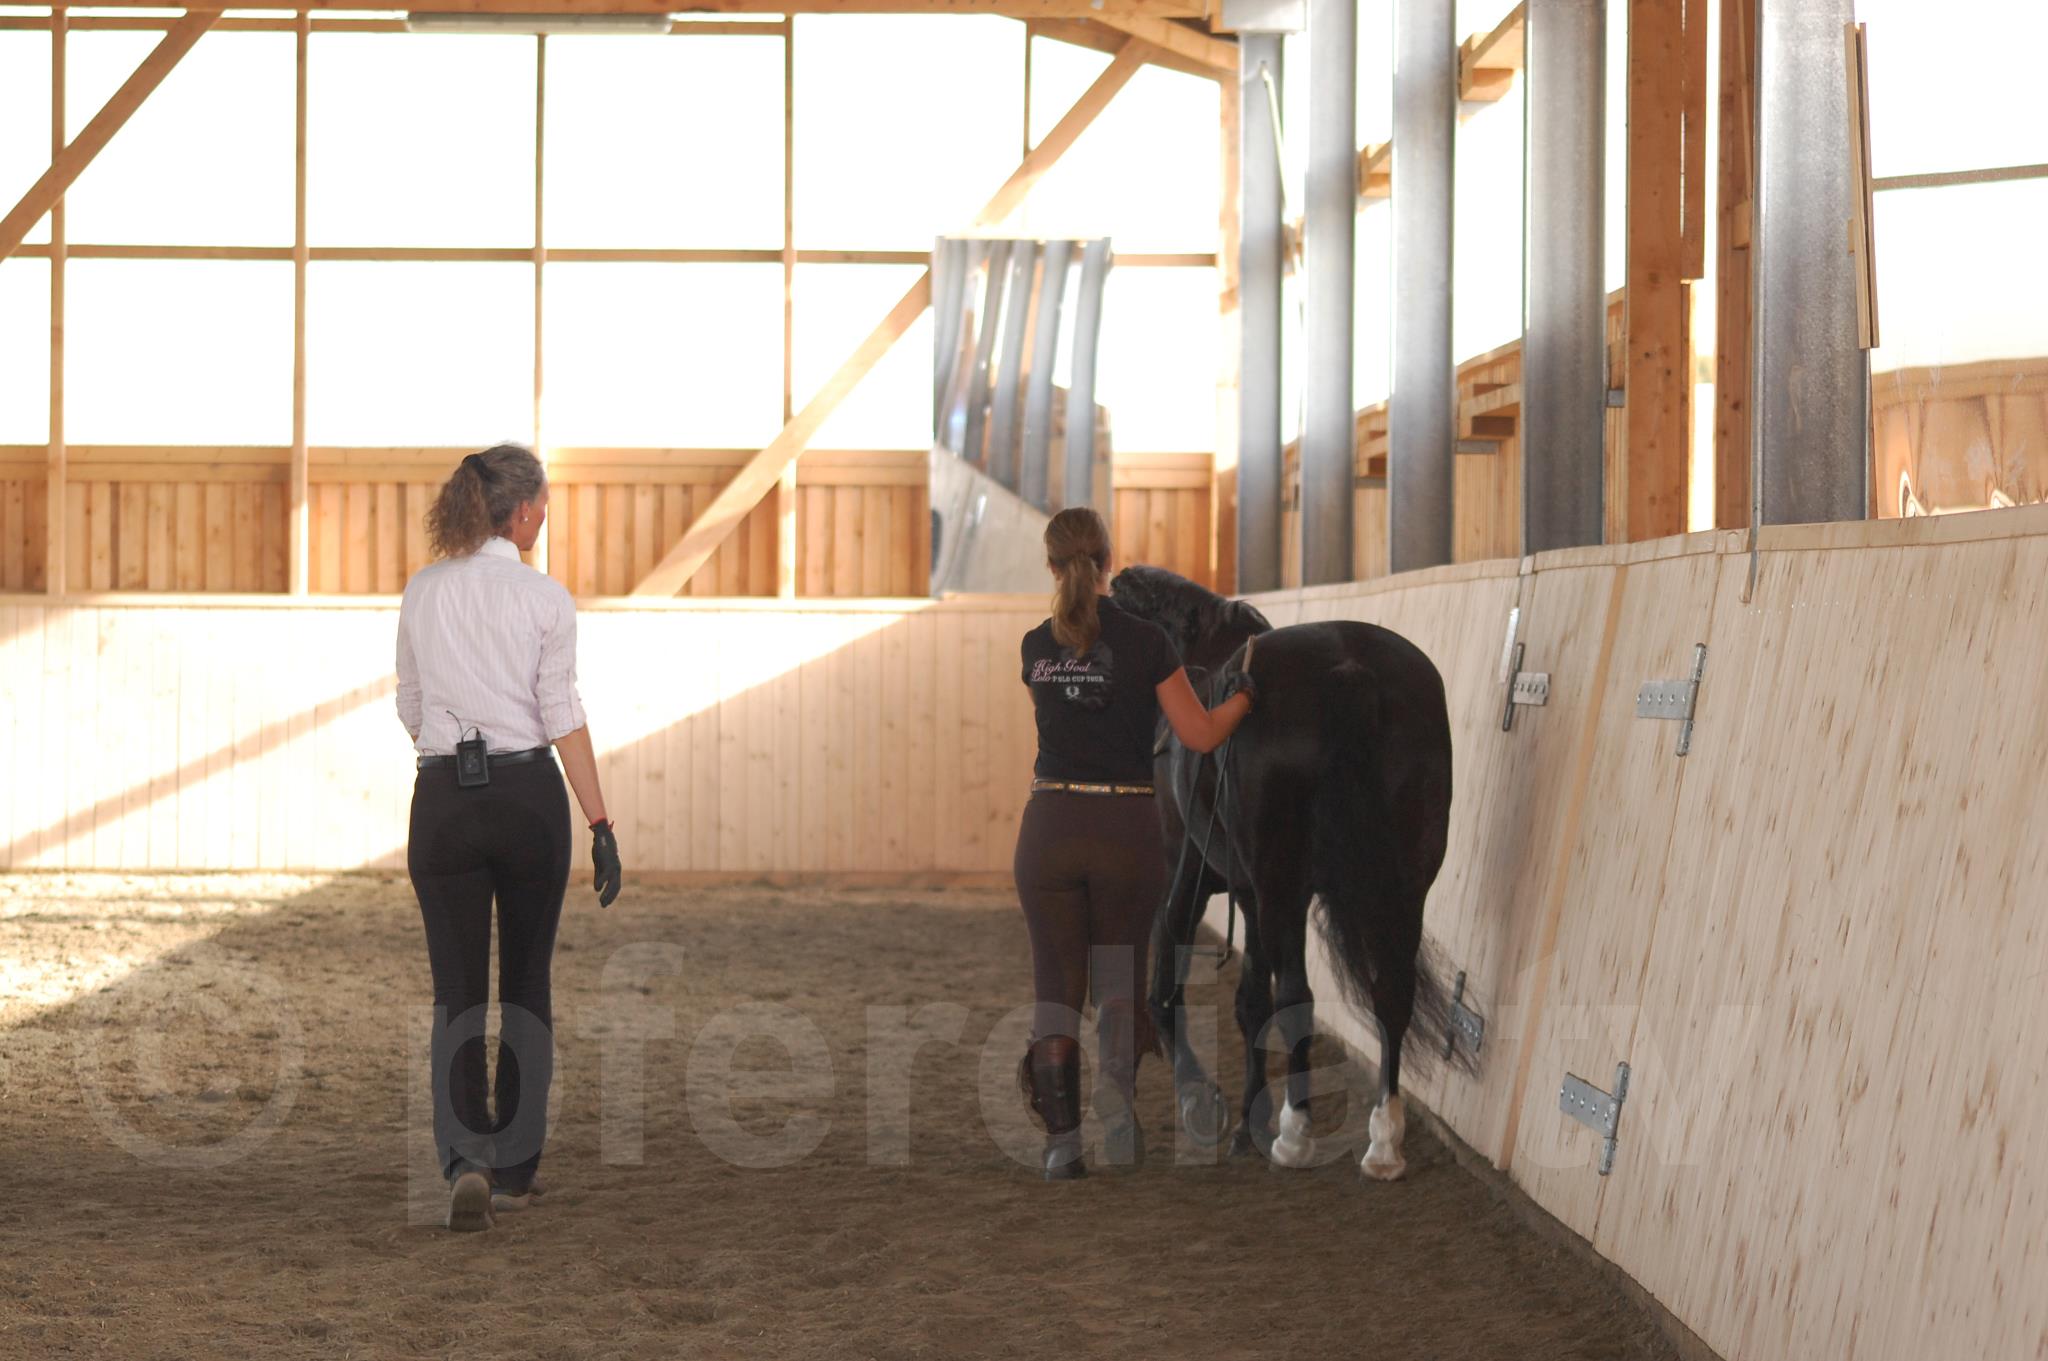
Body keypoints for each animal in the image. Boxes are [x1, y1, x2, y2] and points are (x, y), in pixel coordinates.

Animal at [1109, 565, 1456, 1180]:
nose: (1121, 577)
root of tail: (1347, 670)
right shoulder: (1248, 895)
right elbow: (1250, 1000)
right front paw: (1248, 1119)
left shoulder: (1194, 876)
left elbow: (1173, 986)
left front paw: (1212, 1105)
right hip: (1404, 886)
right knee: (1392, 994)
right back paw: (1383, 1146)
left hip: (1283, 886)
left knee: (1298, 997)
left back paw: (1296, 1137)